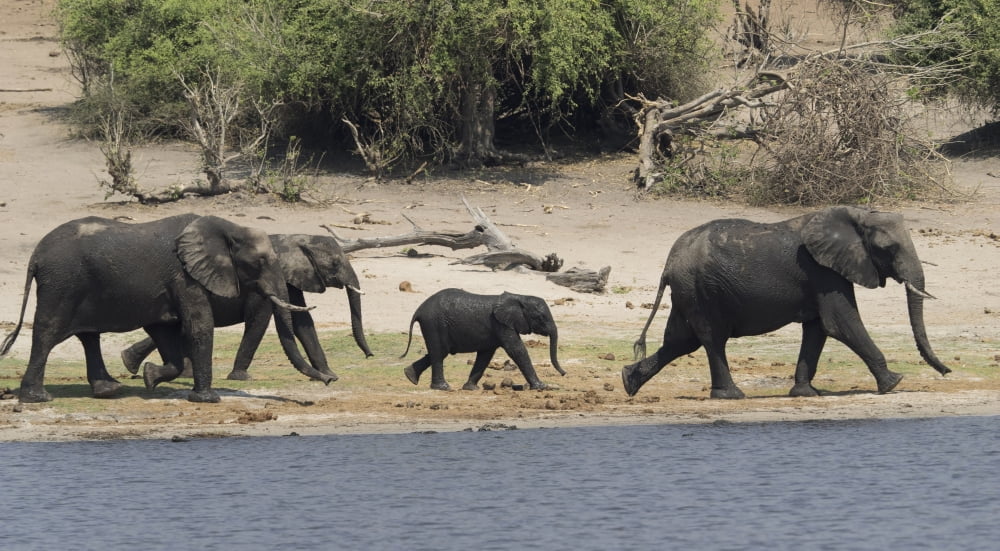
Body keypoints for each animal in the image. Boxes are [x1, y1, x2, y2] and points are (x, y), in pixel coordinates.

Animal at [0, 214, 334, 403]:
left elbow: (166, 329)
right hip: (62, 284)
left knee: (88, 336)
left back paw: (109, 390)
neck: (227, 228)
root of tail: (35, 256)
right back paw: (38, 398)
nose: (329, 381)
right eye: (260, 262)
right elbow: (198, 326)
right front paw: (208, 400)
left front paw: (150, 378)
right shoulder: (185, 276)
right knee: (47, 333)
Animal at [119, 233, 373, 382]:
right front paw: (240, 377)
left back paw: (132, 363)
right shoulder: (261, 283)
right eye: (335, 264)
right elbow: (260, 320)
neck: (294, 238)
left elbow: (302, 323)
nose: (370, 355)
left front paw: (330, 376)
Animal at [400, 289, 566, 390]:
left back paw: (410, 376)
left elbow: (485, 355)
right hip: (434, 323)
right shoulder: (501, 324)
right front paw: (541, 387)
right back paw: (443, 388)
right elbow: (516, 350)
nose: (564, 374)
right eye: (540, 318)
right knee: (439, 352)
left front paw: (471, 388)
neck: (519, 297)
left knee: (439, 352)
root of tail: (419, 310)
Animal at [621, 206, 951, 399]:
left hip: (690, 292)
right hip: (700, 290)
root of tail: (669, 263)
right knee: (711, 339)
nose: (947, 372)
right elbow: (842, 323)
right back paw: (732, 396)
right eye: (888, 248)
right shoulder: (822, 271)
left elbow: (818, 328)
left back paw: (628, 381)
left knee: (680, 341)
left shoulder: (823, 275)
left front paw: (806, 393)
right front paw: (894, 383)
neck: (855, 215)